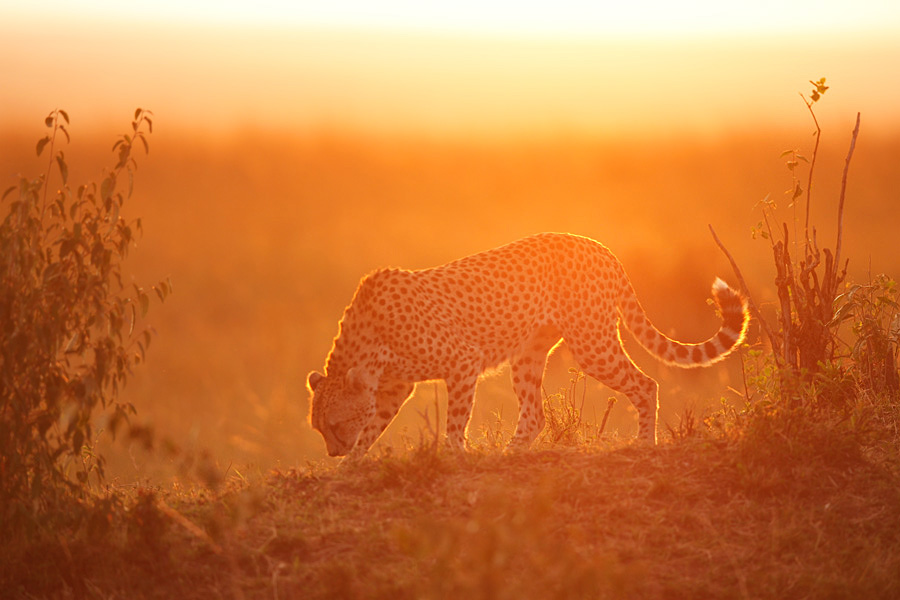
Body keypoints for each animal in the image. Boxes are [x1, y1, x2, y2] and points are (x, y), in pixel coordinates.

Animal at [306, 232, 748, 458]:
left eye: (335, 425)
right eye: (319, 428)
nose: (332, 452)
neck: (366, 341)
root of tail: (597, 244)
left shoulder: (463, 362)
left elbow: (455, 420)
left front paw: (454, 455)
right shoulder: (396, 387)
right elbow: (374, 426)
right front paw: (350, 468)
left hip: (591, 343)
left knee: (645, 384)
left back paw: (643, 444)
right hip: (528, 355)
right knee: (534, 414)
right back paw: (510, 452)